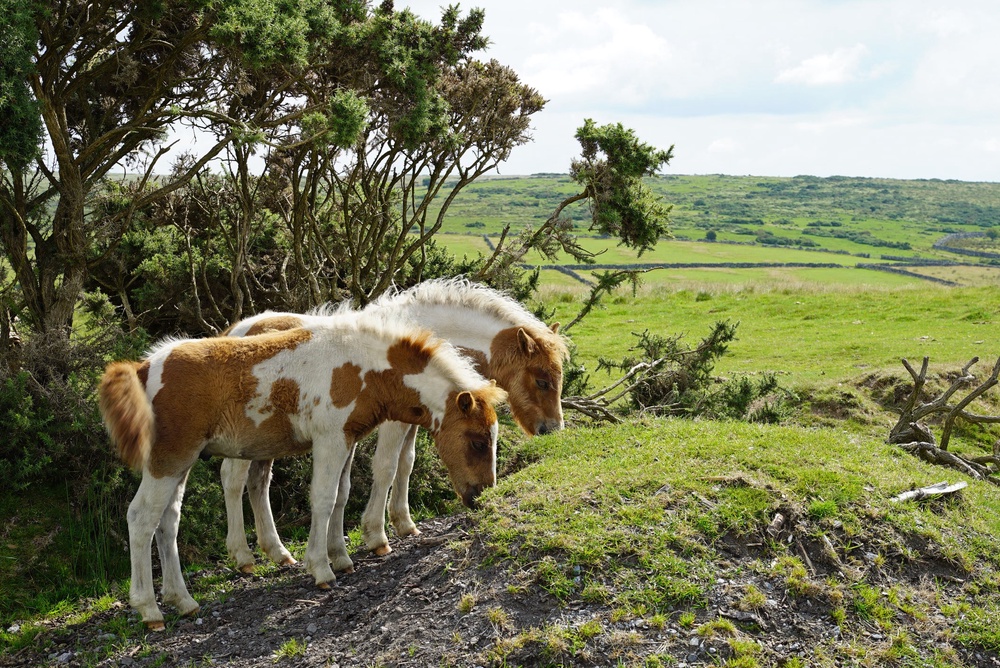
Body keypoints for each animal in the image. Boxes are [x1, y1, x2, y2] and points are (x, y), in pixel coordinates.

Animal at [99, 310, 506, 630]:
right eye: (478, 442)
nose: (482, 493)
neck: (360, 366)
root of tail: (143, 368)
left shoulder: (348, 438)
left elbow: (341, 495)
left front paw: (341, 557)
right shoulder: (330, 438)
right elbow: (324, 498)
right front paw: (322, 569)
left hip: (182, 462)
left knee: (168, 520)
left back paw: (183, 600)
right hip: (168, 459)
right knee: (141, 518)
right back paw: (150, 610)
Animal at [221, 277, 569, 573]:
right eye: (542, 380)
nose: (553, 429)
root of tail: (237, 329)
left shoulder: (416, 418)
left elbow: (406, 463)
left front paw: (403, 523)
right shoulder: (393, 421)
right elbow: (387, 467)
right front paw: (376, 536)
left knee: (259, 483)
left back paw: (278, 552)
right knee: (233, 480)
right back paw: (243, 557)